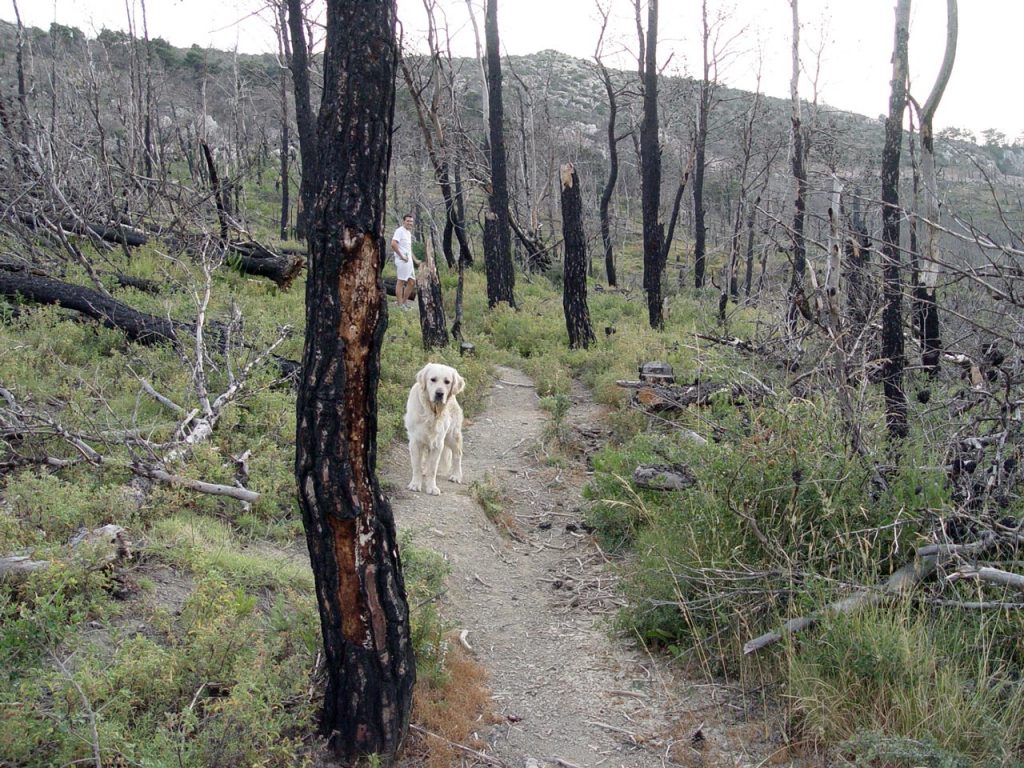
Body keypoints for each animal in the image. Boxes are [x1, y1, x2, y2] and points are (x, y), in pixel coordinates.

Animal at [403, 364, 464, 495]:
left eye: (447, 382)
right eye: (433, 379)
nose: (439, 393)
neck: (431, 411)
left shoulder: (437, 444)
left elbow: (433, 469)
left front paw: (432, 487)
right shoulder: (415, 441)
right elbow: (416, 466)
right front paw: (415, 484)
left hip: (451, 435)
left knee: (457, 454)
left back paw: (456, 476)